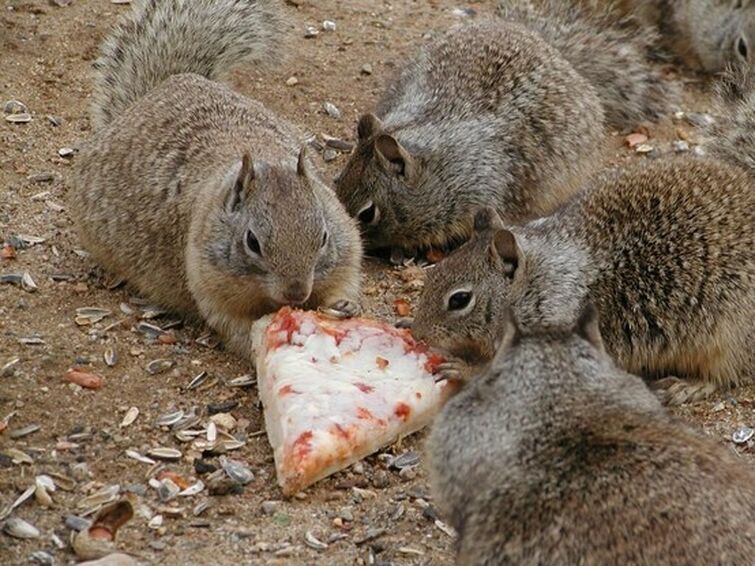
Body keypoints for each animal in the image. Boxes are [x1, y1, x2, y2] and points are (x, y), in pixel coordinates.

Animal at [70, 0, 363, 356]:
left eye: (322, 237)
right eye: (252, 242)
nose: (296, 293)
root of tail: (162, 89)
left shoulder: (345, 250)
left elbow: (343, 282)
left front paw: (344, 306)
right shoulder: (212, 288)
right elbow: (236, 328)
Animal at [412, 68, 754, 405]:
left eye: (459, 300)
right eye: (434, 273)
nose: (417, 334)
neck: (539, 285)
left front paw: (463, 368)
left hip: (727, 336)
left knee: (727, 374)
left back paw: (687, 385)